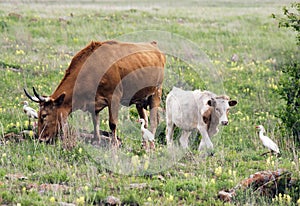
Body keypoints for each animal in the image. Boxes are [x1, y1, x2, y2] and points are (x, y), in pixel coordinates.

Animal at [24, 40, 166, 145]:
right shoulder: (94, 102)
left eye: (44, 115)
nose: (41, 139)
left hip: (156, 93)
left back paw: (150, 144)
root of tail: (154, 45)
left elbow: (112, 123)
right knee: (145, 120)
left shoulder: (114, 97)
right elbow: (95, 122)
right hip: (140, 100)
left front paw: (114, 144)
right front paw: (96, 141)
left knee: (154, 121)